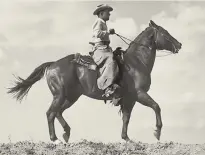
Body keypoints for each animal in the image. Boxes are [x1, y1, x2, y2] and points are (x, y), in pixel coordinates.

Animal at [7, 20, 182, 144]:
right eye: (165, 33)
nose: (179, 44)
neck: (136, 61)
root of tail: (52, 65)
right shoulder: (139, 94)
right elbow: (156, 106)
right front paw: (157, 132)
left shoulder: (130, 98)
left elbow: (126, 118)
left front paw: (126, 138)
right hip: (60, 95)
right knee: (50, 113)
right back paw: (55, 139)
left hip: (71, 97)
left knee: (58, 112)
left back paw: (66, 133)